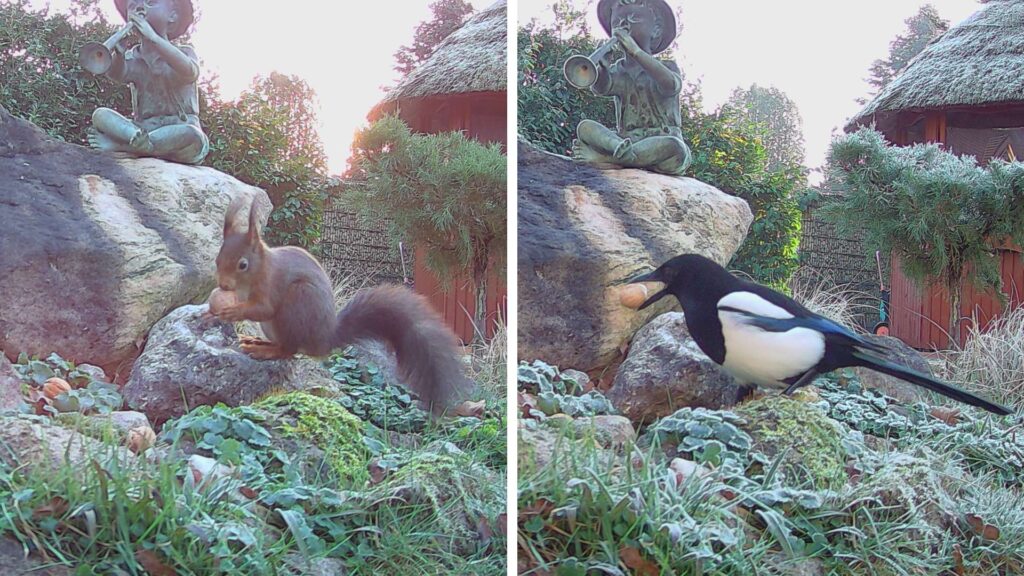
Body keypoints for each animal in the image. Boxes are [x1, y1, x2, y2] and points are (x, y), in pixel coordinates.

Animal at [208, 195, 472, 413]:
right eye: (217, 259)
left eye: (243, 264)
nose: (223, 284)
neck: (259, 270)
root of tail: (323, 340)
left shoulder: (271, 285)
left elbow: (264, 308)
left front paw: (231, 311)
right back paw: (259, 341)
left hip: (297, 303)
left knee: (290, 349)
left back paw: (266, 350)